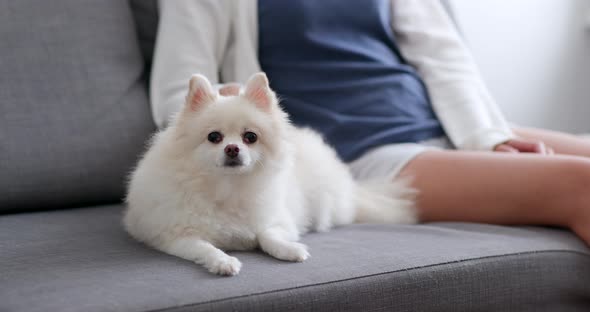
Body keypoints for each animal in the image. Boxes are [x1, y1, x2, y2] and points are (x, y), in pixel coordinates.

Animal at [125, 72, 418, 276]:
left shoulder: (280, 221)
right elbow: (206, 247)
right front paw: (223, 261)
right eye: (214, 137)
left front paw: (290, 250)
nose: (232, 148)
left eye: (250, 137)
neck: (228, 186)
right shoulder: (175, 236)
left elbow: (268, 235)